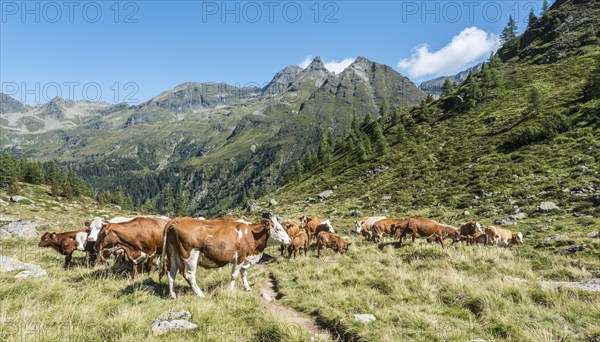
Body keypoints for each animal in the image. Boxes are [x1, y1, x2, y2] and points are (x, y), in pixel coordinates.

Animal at [161, 215, 290, 298]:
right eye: (278, 229)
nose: (289, 240)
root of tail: (177, 220)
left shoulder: (245, 258)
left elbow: (244, 273)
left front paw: (247, 287)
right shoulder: (240, 257)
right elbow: (234, 275)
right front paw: (230, 290)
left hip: (172, 254)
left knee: (171, 274)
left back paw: (173, 295)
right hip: (190, 255)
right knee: (189, 275)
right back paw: (200, 294)